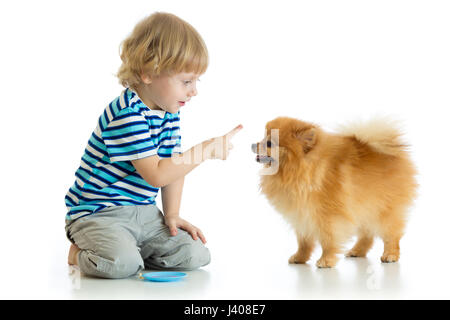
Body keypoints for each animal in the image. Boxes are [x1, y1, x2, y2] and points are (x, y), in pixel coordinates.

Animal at [253, 117, 418, 268]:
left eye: (269, 143)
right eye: (263, 138)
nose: (253, 144)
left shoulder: (329, 216)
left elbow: (328, 240)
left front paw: (326, 260)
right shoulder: (301, 214)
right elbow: (304, 241)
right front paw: (300, 257)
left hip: (384, 209)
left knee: (392, 235)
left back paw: (390, 255)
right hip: (364, 207)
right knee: (367, 235)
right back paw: (357, 251)